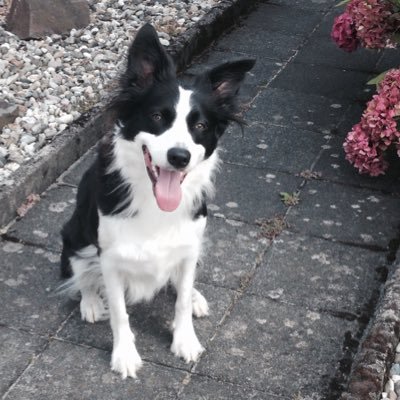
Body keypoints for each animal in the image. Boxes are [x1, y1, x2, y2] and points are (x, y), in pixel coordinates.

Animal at [61, 23, 255, 380]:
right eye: (156, 116)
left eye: (200, 125)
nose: (179, 157)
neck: (155, 204)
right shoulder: (110, 258)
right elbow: (119, 312)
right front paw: (124, 354)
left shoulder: (189, 246)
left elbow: (180, 301)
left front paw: (185, 339)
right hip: (74, 235)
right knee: (82, 274)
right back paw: (91, 302)